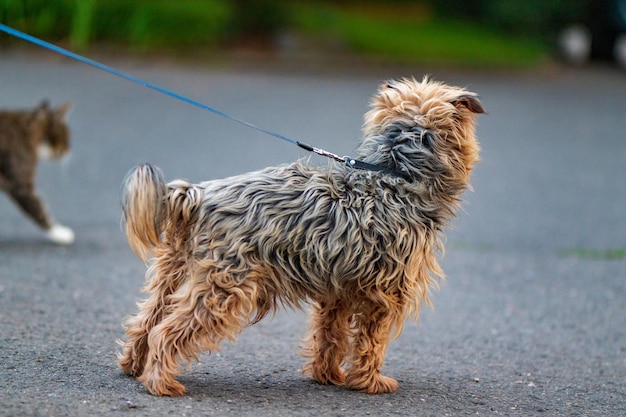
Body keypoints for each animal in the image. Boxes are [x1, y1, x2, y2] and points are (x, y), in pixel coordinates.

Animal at [119, 77, 486, 396]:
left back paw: (133, 366)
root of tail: (197, 195)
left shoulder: (338, 289)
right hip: (225, 286)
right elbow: (371, 341)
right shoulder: (385, 293)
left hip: (175, 270)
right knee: (166, 331)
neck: (395, 175)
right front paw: (370, 381)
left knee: (147, 320)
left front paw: (328, 376)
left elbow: (330, 334)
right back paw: (160, 383)